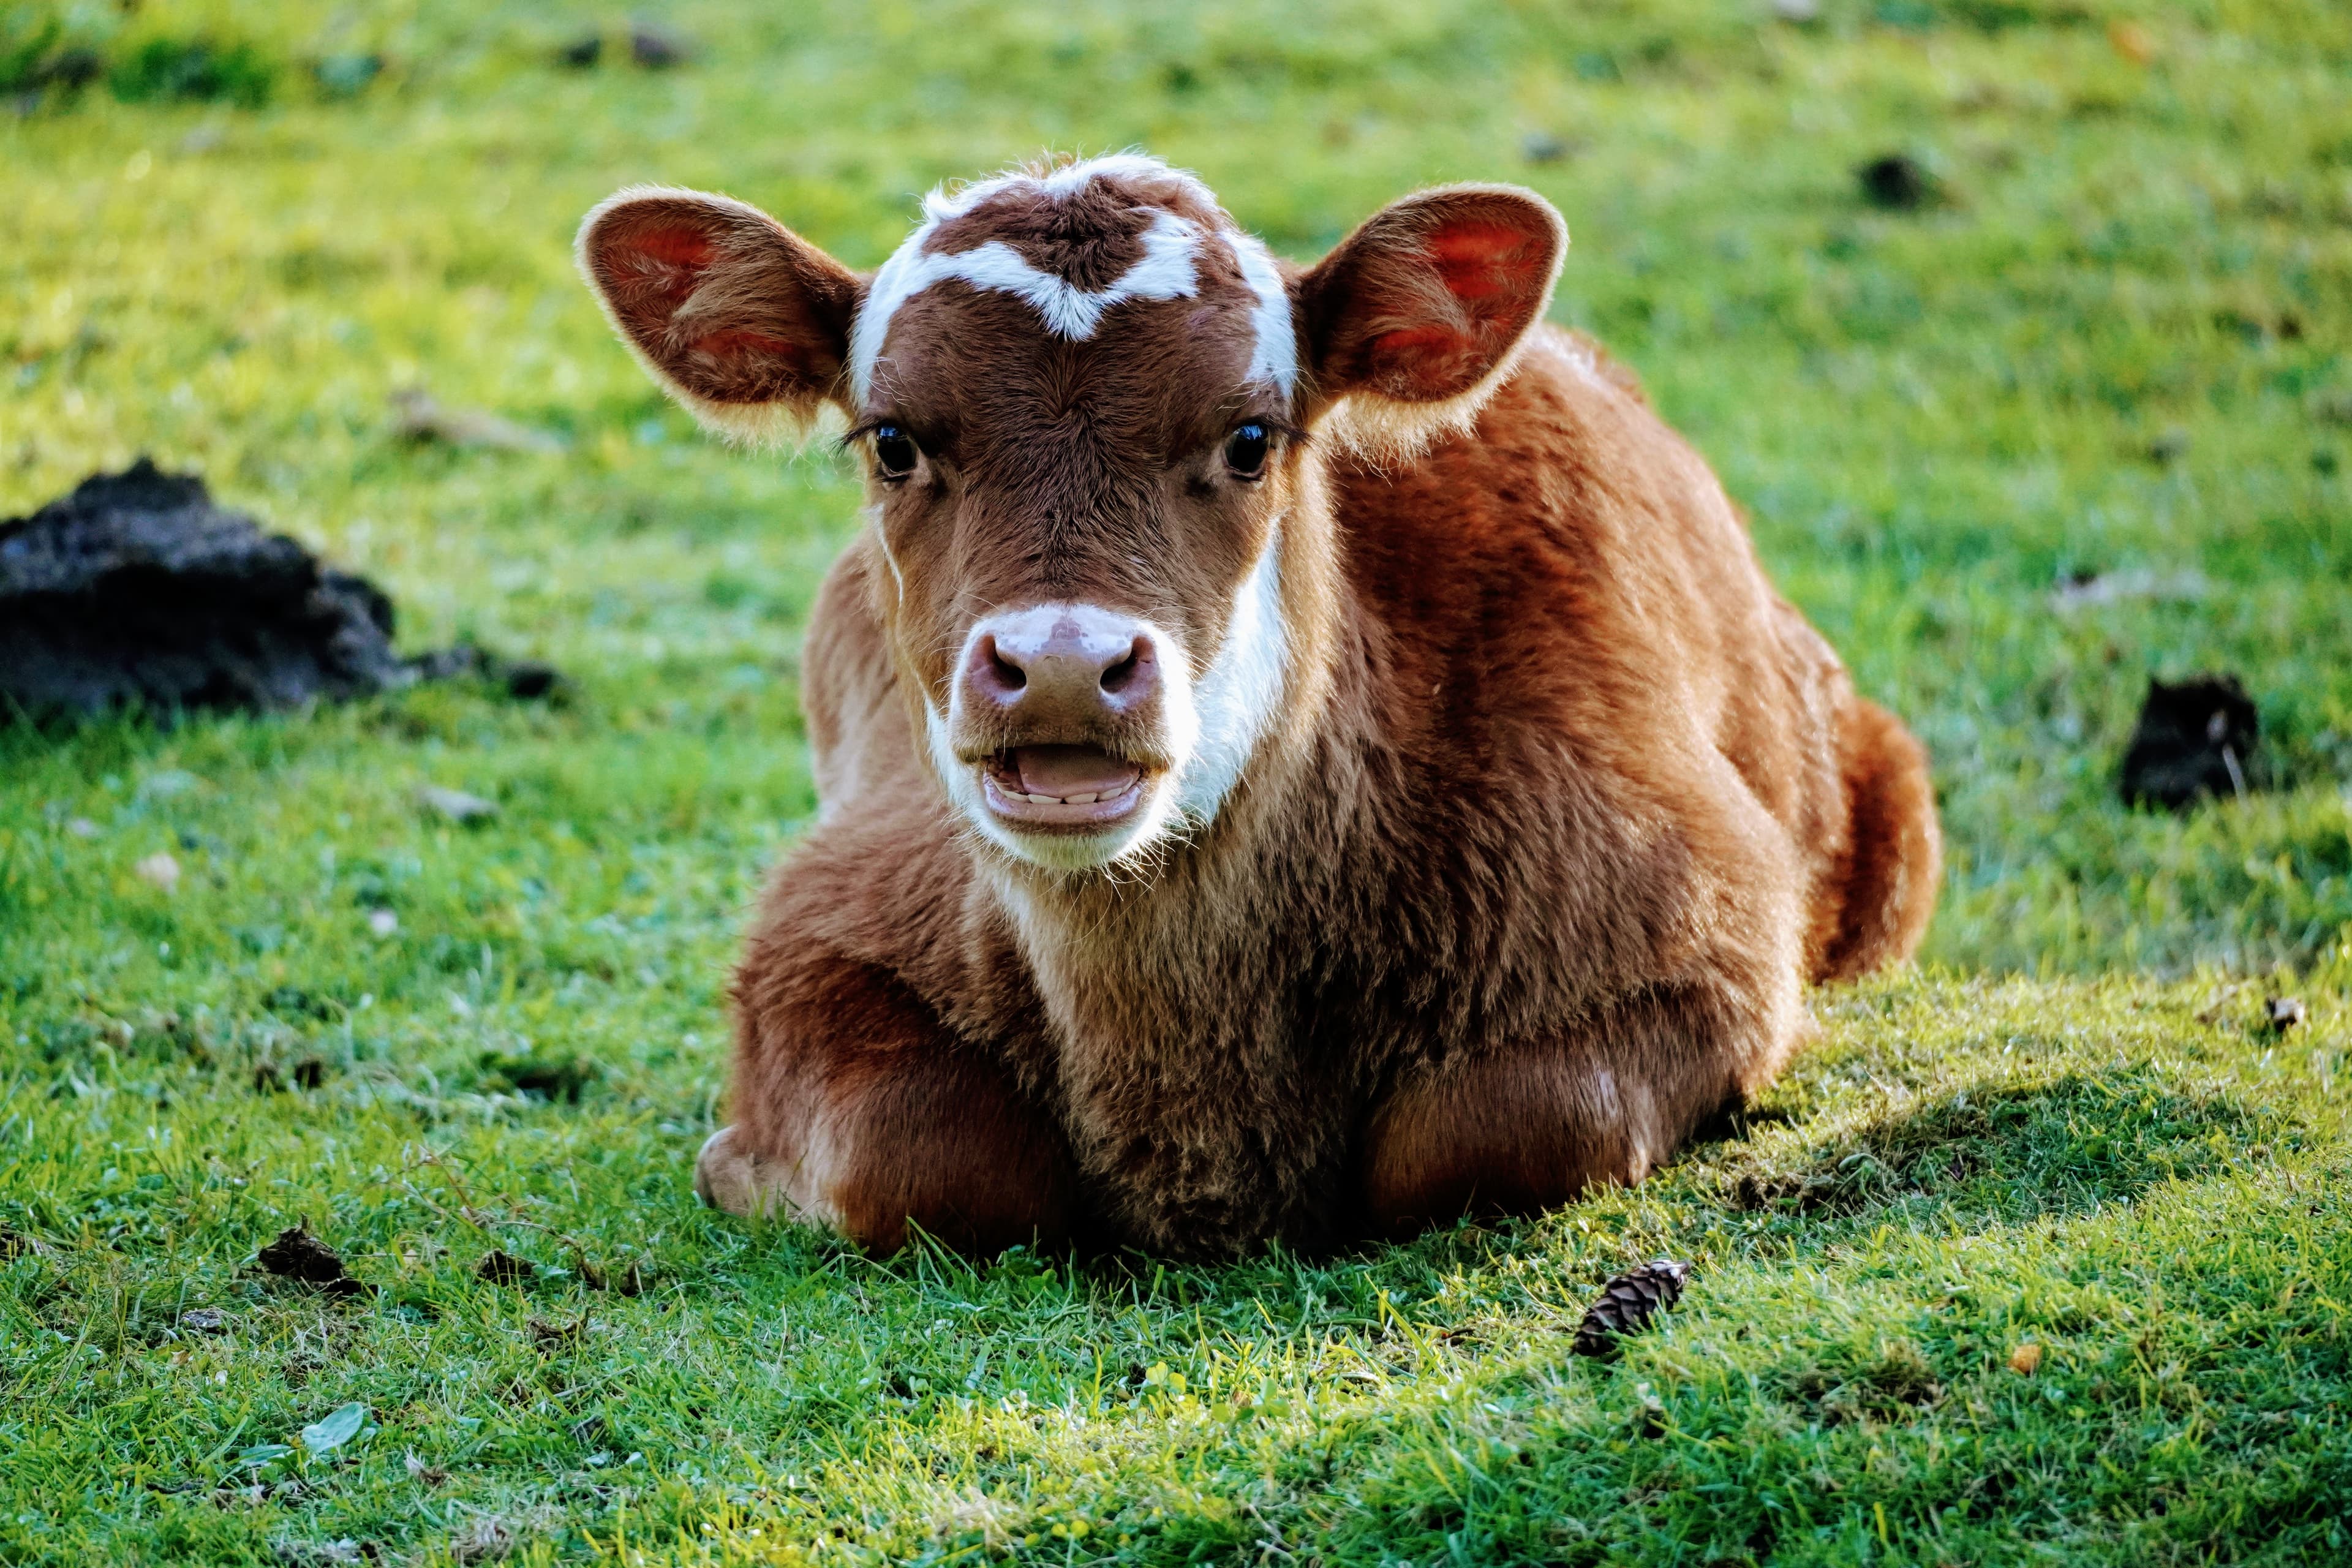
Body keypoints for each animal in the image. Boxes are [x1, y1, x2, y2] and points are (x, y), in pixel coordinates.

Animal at [575, 153, 1941, 1260]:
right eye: (895, 440)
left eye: (1248, 437)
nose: (1061, 664)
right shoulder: (822, 925)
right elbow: (917, 1156)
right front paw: (741, 1164)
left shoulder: (1707, 929)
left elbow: (1490, 1130)